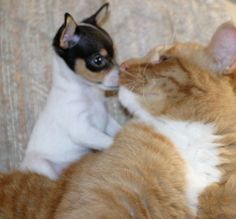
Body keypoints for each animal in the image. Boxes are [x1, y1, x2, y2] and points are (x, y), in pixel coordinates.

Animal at [21, 3, 121, 180]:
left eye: (114, 54)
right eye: (98, 60)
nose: (123, 73)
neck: (88, 92)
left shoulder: (106, 120)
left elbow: (117, 131)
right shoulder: (82, 129)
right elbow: (110, 141)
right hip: (42, 165)